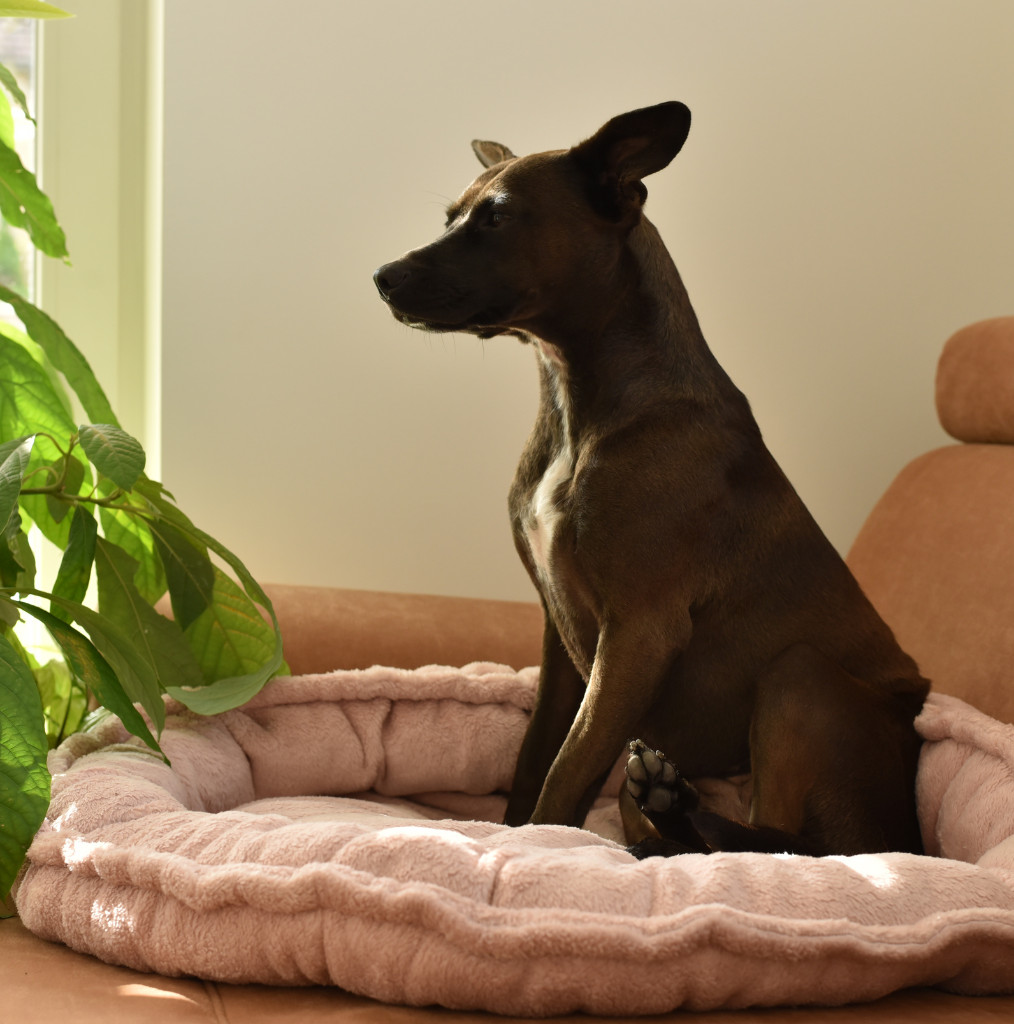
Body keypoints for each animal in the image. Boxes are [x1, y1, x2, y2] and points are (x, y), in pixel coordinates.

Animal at [374, 102, 929, 857]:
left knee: (785, 843)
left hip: (801, 675)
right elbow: (534, 759)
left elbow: (566, 771)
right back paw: (667, 807)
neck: (580, 402)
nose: (384, 276)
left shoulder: (639, 631)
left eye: (499, 217)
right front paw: (513, 831)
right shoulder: (561, 638)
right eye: (454, 215)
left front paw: (542, 845)